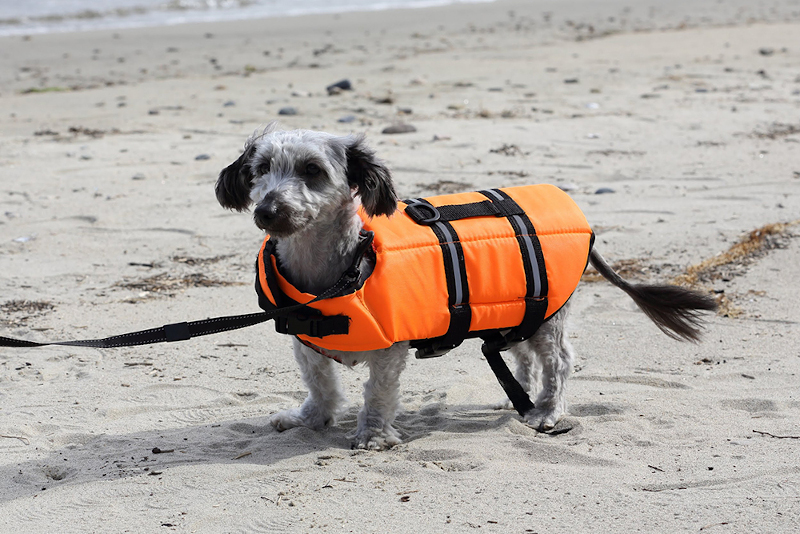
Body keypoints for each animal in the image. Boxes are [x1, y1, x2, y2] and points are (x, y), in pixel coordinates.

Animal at [214, 126, 720, 452]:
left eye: (313, 170)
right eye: (262, 167)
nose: (267, 211)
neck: (336, 269)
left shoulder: (390, 350)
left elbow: (377, 392)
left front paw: (373, 434)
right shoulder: (306, 343)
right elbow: (320, 385)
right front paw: (311, 420)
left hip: (548, 315)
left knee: (558, 362)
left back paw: (547, 410)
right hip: (518, 315)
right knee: (524, 357)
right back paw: (519, 395)